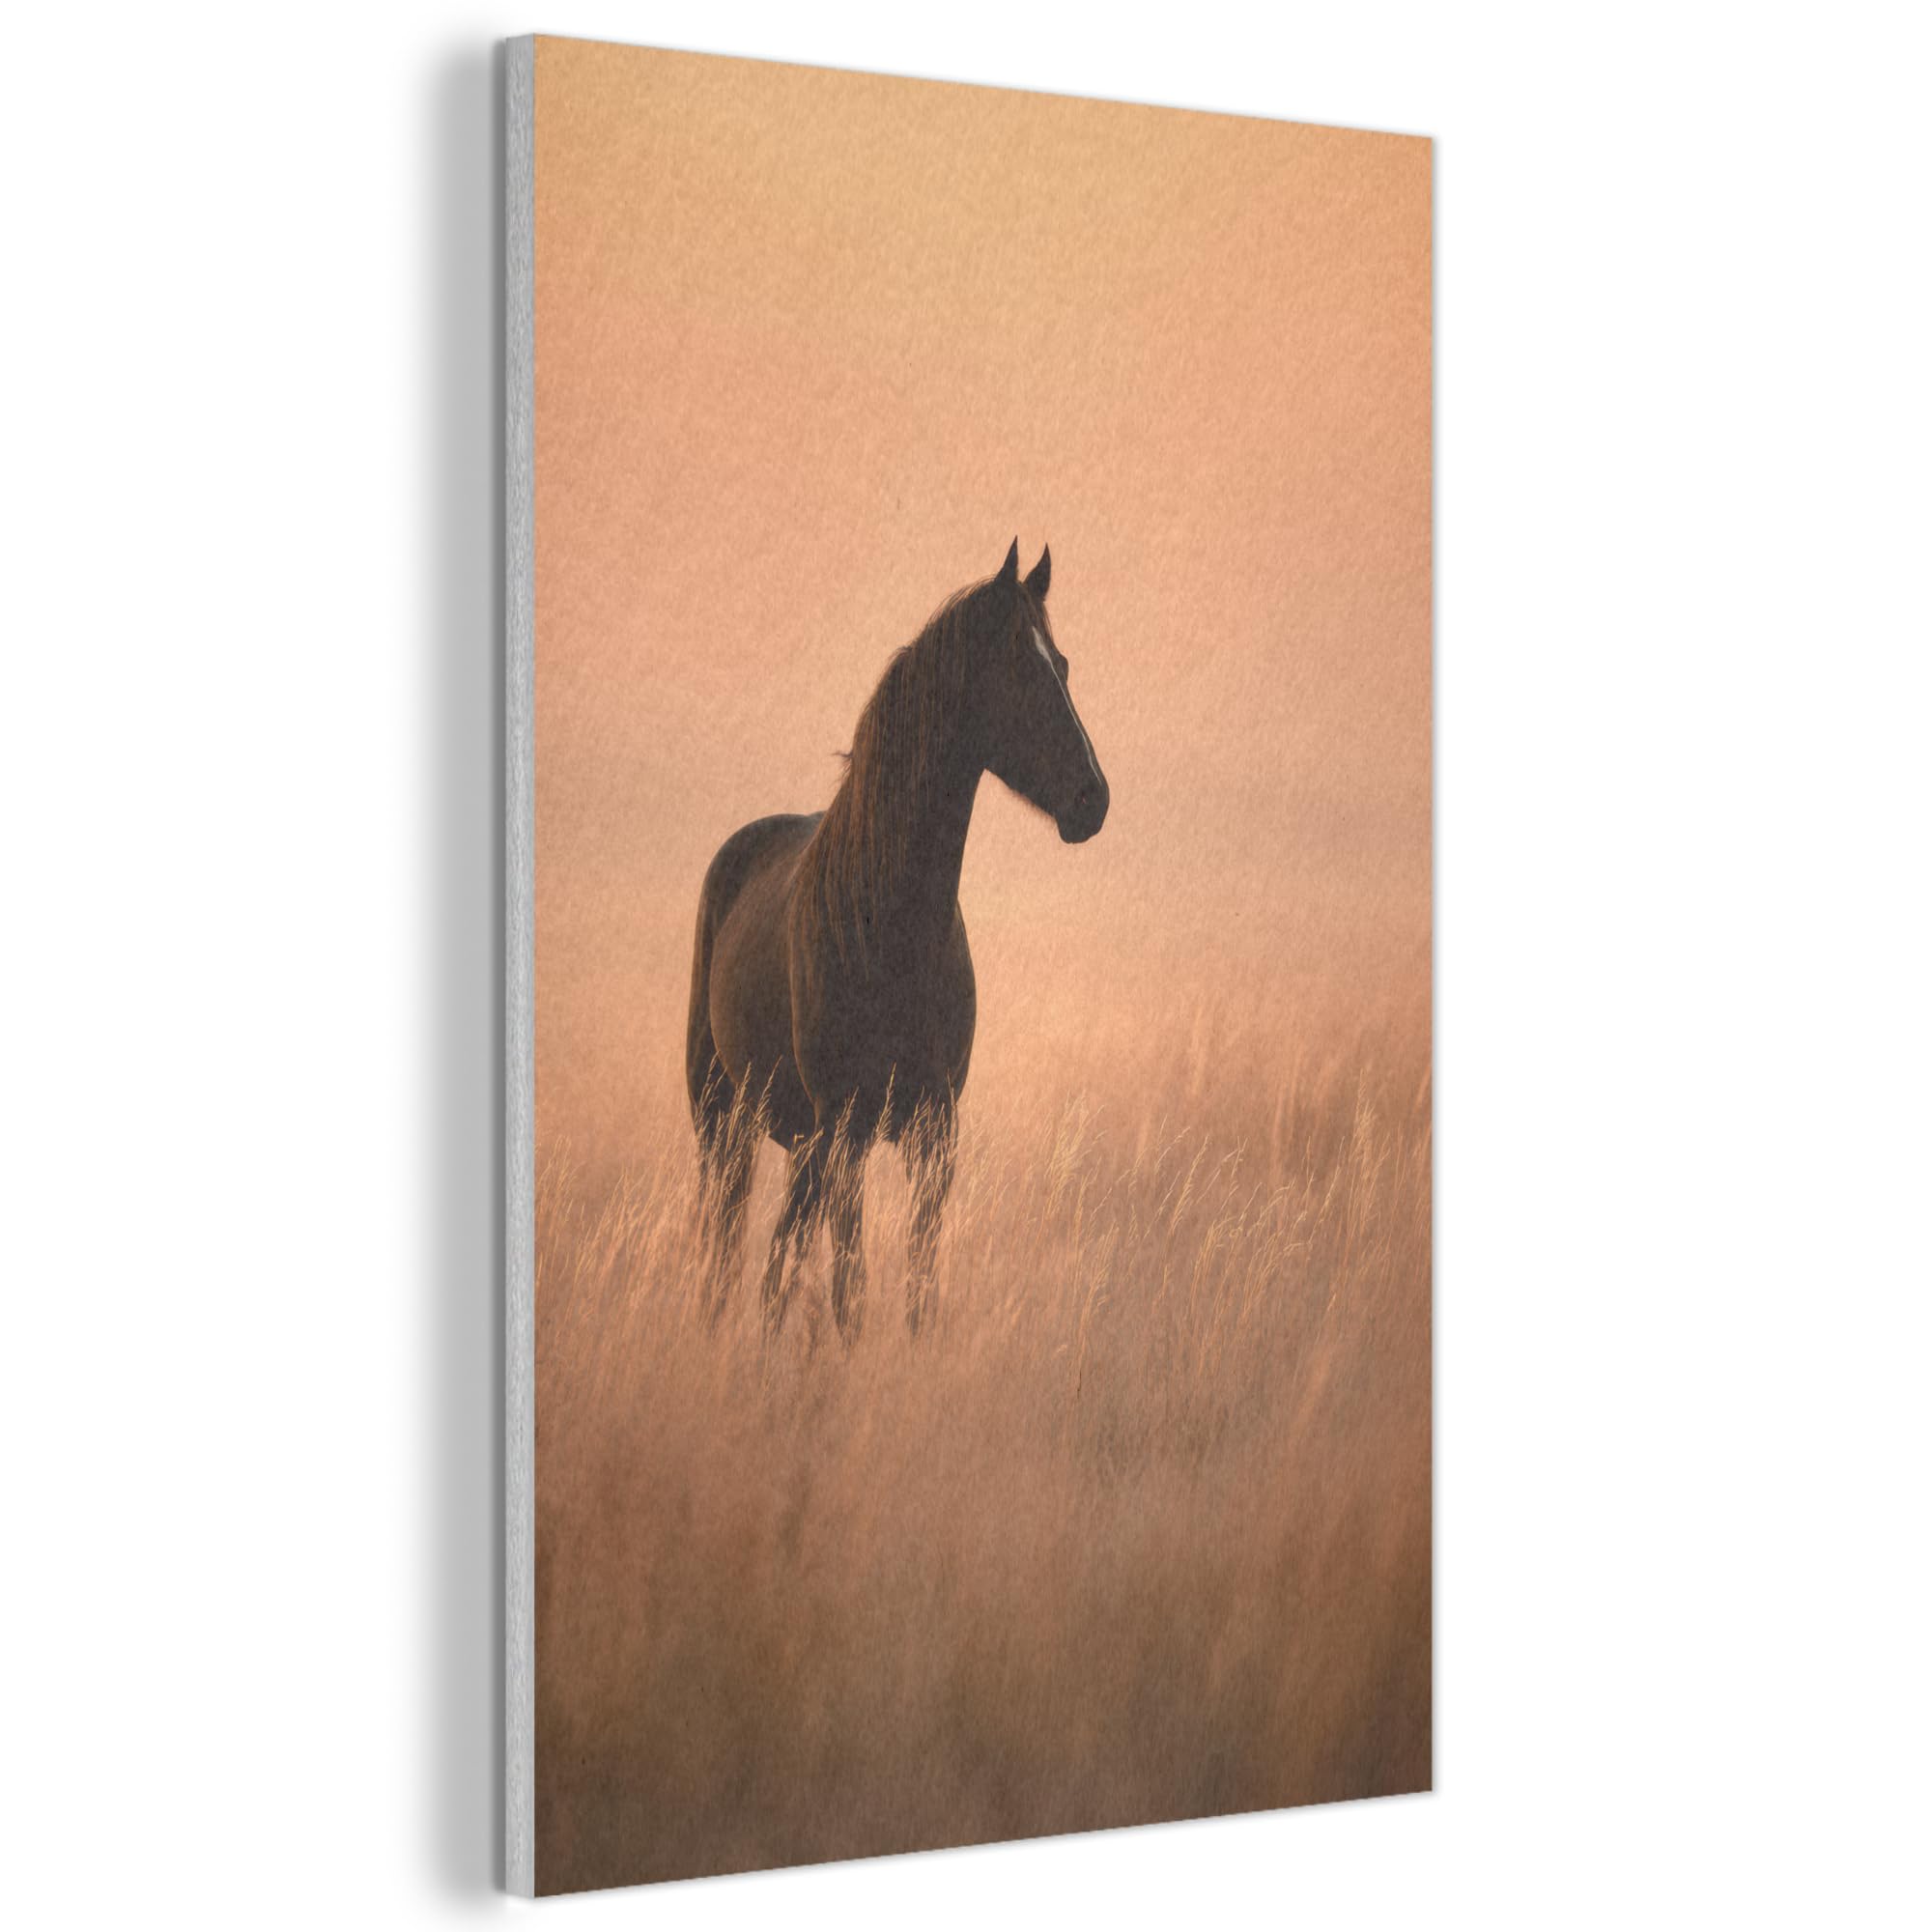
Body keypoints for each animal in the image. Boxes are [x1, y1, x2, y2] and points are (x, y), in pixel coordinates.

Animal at [685, 539, 1109, 1343]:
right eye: (1018, 664)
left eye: (1063, 665)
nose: (1092, 800)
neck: (890, 932)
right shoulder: (846, 1134)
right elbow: (851, 1290)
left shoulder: (932, 1136)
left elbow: (917, 1286)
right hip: (726, 1120)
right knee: (727, 1248)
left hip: (801, 1143)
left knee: (779, 1260)